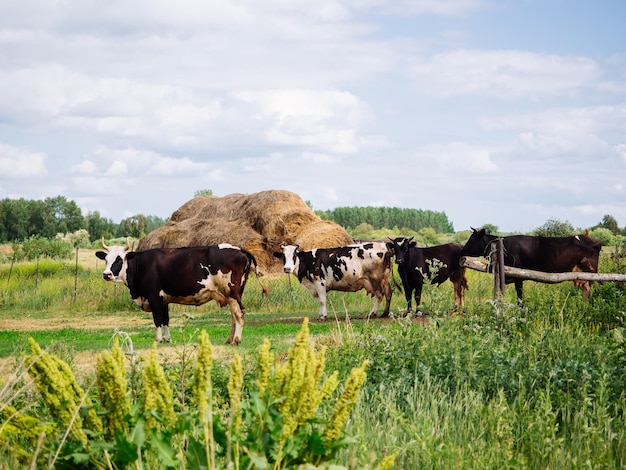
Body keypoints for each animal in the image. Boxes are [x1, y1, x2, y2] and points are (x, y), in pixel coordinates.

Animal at [95, 239, 266, 346]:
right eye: (106, 260)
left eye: (119, 259)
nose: (106, 274)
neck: (141, 265)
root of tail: (239, 248)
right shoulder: (163, 300)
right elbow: (165, 320)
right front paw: (167, 339)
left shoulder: (154, 297)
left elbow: (157, 320)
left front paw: (158, 340)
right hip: (233, 295)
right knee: (234, 316)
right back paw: (229, 340)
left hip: (232, 293)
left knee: (239, 315)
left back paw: (236, 340)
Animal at [458, 228, 600, 302]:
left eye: (472, 239)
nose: (462, 250)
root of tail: (595, 241)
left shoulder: (518, 277)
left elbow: (520, 298)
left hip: (591, 274)